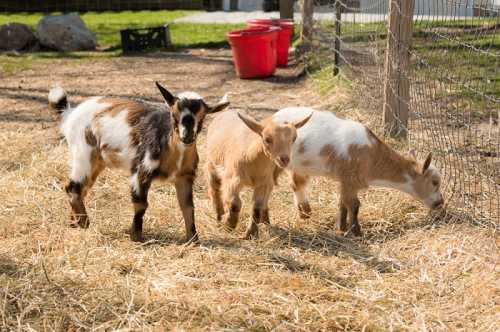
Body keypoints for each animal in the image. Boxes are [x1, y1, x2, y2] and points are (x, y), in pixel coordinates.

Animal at [49, 81, 229, 243]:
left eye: (203, 116)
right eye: (173, 114)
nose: (187, 136)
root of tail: (70, 113)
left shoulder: (184, 177)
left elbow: (187, 206)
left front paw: (193, 239)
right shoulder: (142, 170)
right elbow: (141, 203)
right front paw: (136, 237)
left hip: (96, 162)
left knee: (82, 188)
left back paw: (74, 223)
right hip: (83, 153)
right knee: (73, 187)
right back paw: (84, 222)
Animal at [205, 111, 310, 239]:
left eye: (294, 138)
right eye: (267, 139)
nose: (284, 159)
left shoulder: (263, 183)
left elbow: (256, 207)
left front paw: (251, 234)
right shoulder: (232, 179)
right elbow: (235, 204)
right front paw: (229, 226)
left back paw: (265, 221)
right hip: (211, 166)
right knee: (214, 191)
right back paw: (219, 218)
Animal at [274, 107, 446, 236]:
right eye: (435, 182)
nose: (440, 203)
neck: (371, 156)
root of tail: (274, 116)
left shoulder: (346, 181)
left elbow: (343, 203)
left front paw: (342, 227)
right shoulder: (350, 179)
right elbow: (354, 205)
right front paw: (356, 231)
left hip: (298, 166)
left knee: (296, 184)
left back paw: (305, 212)